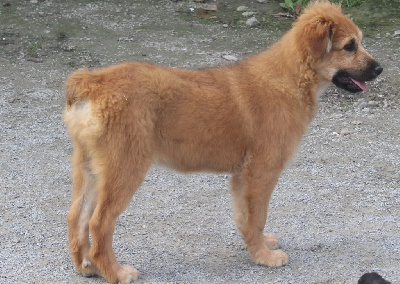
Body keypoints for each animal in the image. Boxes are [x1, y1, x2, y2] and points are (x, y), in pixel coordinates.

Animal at [63, 1, 382, 282]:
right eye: (349, 46)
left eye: (359, 42)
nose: (379, 69)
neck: (291, 78)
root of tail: (92, 83)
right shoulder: (261, 172)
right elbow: (257, 215)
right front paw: (265, 257)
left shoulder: (242, 175)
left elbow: (246, 217)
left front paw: (258, 245)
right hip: (124, 170)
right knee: (98, 223)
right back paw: (115, 272)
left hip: (89, 169)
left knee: (76, 217)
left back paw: (87, 267)